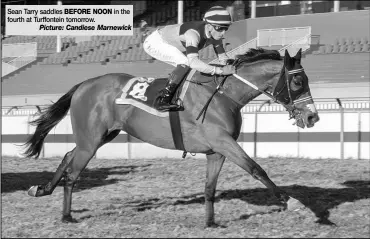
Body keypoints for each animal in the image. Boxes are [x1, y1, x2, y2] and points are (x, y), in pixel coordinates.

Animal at [23, 47, 320, 227]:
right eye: (297, 82)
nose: (312, 117)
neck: (225, 95)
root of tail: (84, 84)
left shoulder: (217, 150)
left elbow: (210, 187)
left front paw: (210, 222)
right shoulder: (224, 142)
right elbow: (257, 169)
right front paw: (293, 202)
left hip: (101, 135)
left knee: (67, 155)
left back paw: (41, 189)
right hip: (91, 139)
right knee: (73, 173)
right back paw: (66, 215)